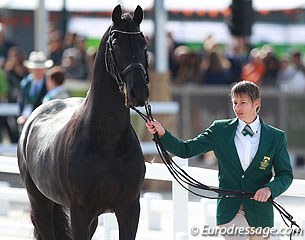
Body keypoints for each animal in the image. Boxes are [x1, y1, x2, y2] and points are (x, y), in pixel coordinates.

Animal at [17, 4, 148, 239]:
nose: (139, 92)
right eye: (116, 44)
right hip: (40, 204)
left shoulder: (129, 209)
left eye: (144, 43)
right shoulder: (80, 211)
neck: (107, 142)